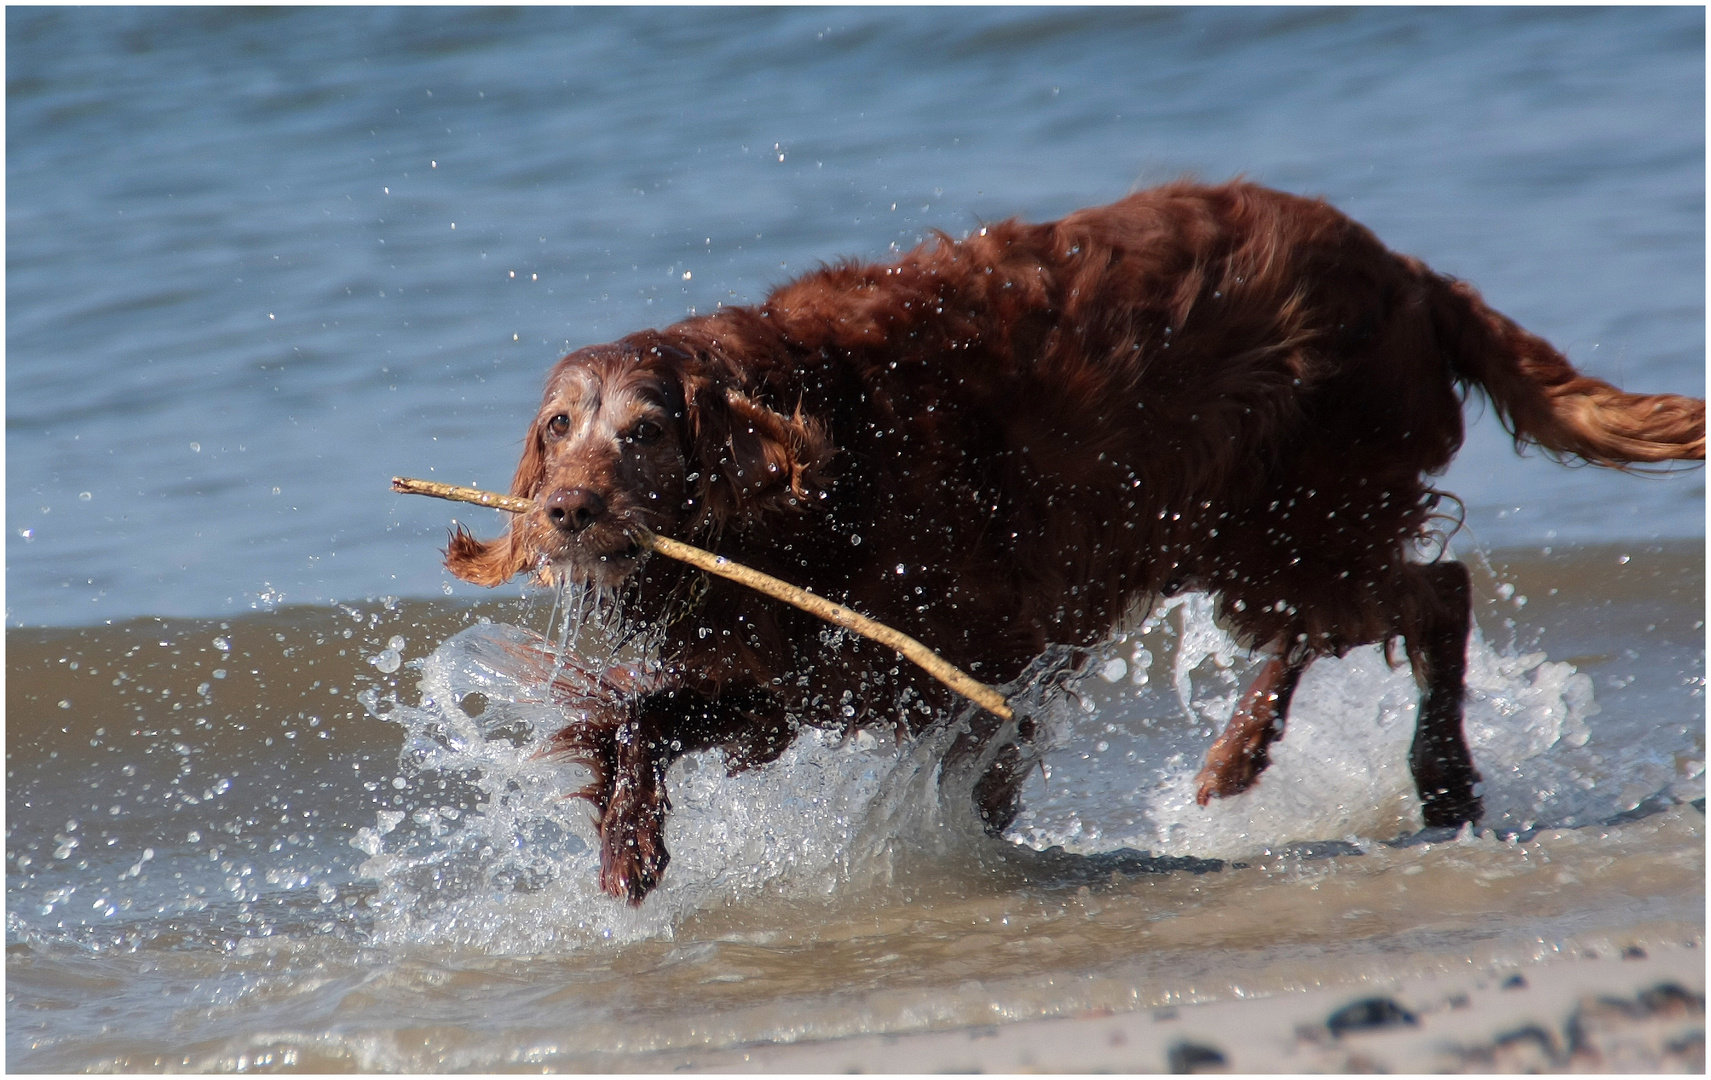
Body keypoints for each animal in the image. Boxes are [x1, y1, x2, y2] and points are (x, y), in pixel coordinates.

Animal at [441, 183, 1697, 903]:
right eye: (557, 429)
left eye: (644, 432)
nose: (565, 513)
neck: (822, 440)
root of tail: (1406, 272)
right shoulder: (814, 658)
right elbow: (641, 713)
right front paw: (627, 841)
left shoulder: (938, 651)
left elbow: (970, 754)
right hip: (1245, 529)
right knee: (1343, 615)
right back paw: (1241, 753)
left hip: (1301, 515)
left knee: (1432, 594)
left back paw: (1434, 779)